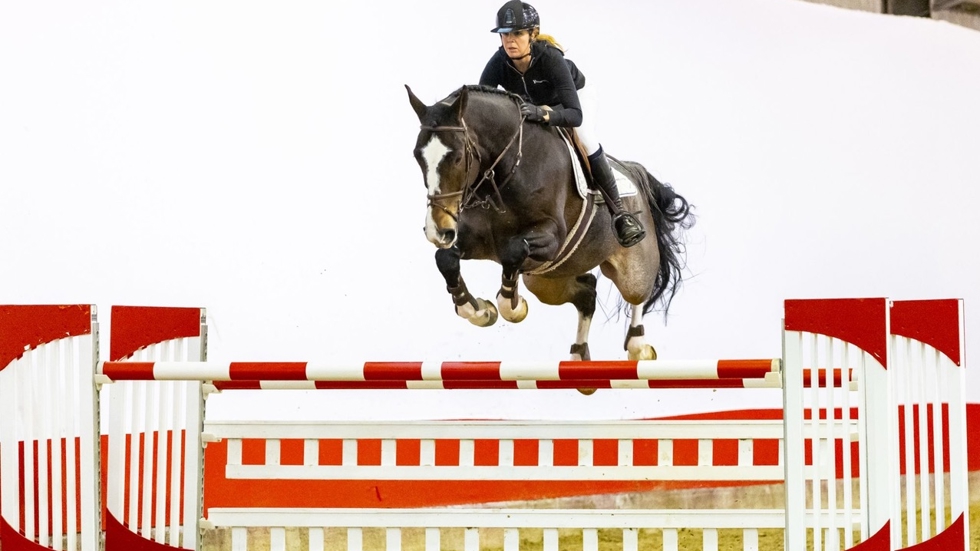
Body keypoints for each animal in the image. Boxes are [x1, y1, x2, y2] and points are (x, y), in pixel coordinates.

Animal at [406, 85, 696, 362]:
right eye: (418, 157)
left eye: (456, 157)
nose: (437, 230)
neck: (503, 173)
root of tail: (633, 171)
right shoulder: (476, 240)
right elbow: (446, 259)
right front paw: (479, 309)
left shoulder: (551, 237)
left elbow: (514, 251)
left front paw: (513, 306)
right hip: (548, 282)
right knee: (587, 293)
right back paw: (578, 354)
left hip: (630, 267)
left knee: (637, 294)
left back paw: (639, 346)